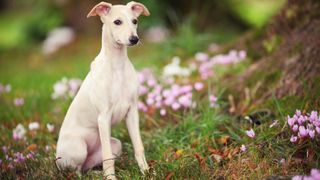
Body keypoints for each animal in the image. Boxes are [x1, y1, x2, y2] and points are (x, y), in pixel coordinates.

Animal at [55, 1, 151, 179]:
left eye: (135, 21)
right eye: (117, 22)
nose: (134, 39)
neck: (117, 66)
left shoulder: (132, 112)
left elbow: (138, 147)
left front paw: (146, 172)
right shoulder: (103, 117)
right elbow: (107, 157)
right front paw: (111, 178)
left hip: (116, 145)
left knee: (86, 168)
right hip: (78, 148)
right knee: (76, 171)